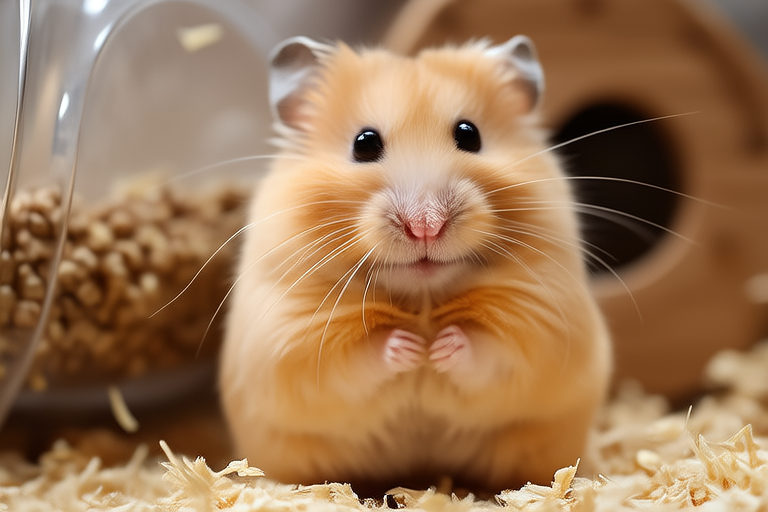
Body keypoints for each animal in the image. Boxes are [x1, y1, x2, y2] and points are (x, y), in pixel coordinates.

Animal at [219, 35, 611, 493]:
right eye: (364, 143)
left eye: (469, 134)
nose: (426, 225)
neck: (422, 297)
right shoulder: (292, 340)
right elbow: (349, 362)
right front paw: (408, 346)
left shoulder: (541, 323)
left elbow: (494, 353)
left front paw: (441, 346)